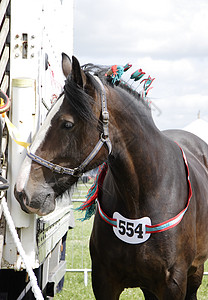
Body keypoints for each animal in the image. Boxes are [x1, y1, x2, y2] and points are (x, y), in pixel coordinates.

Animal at [14, 54, 208, 300]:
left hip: (195, 272)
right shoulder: (104, 282)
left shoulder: (173, 285)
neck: (142, 197)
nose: (22, 190)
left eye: (67, 124)